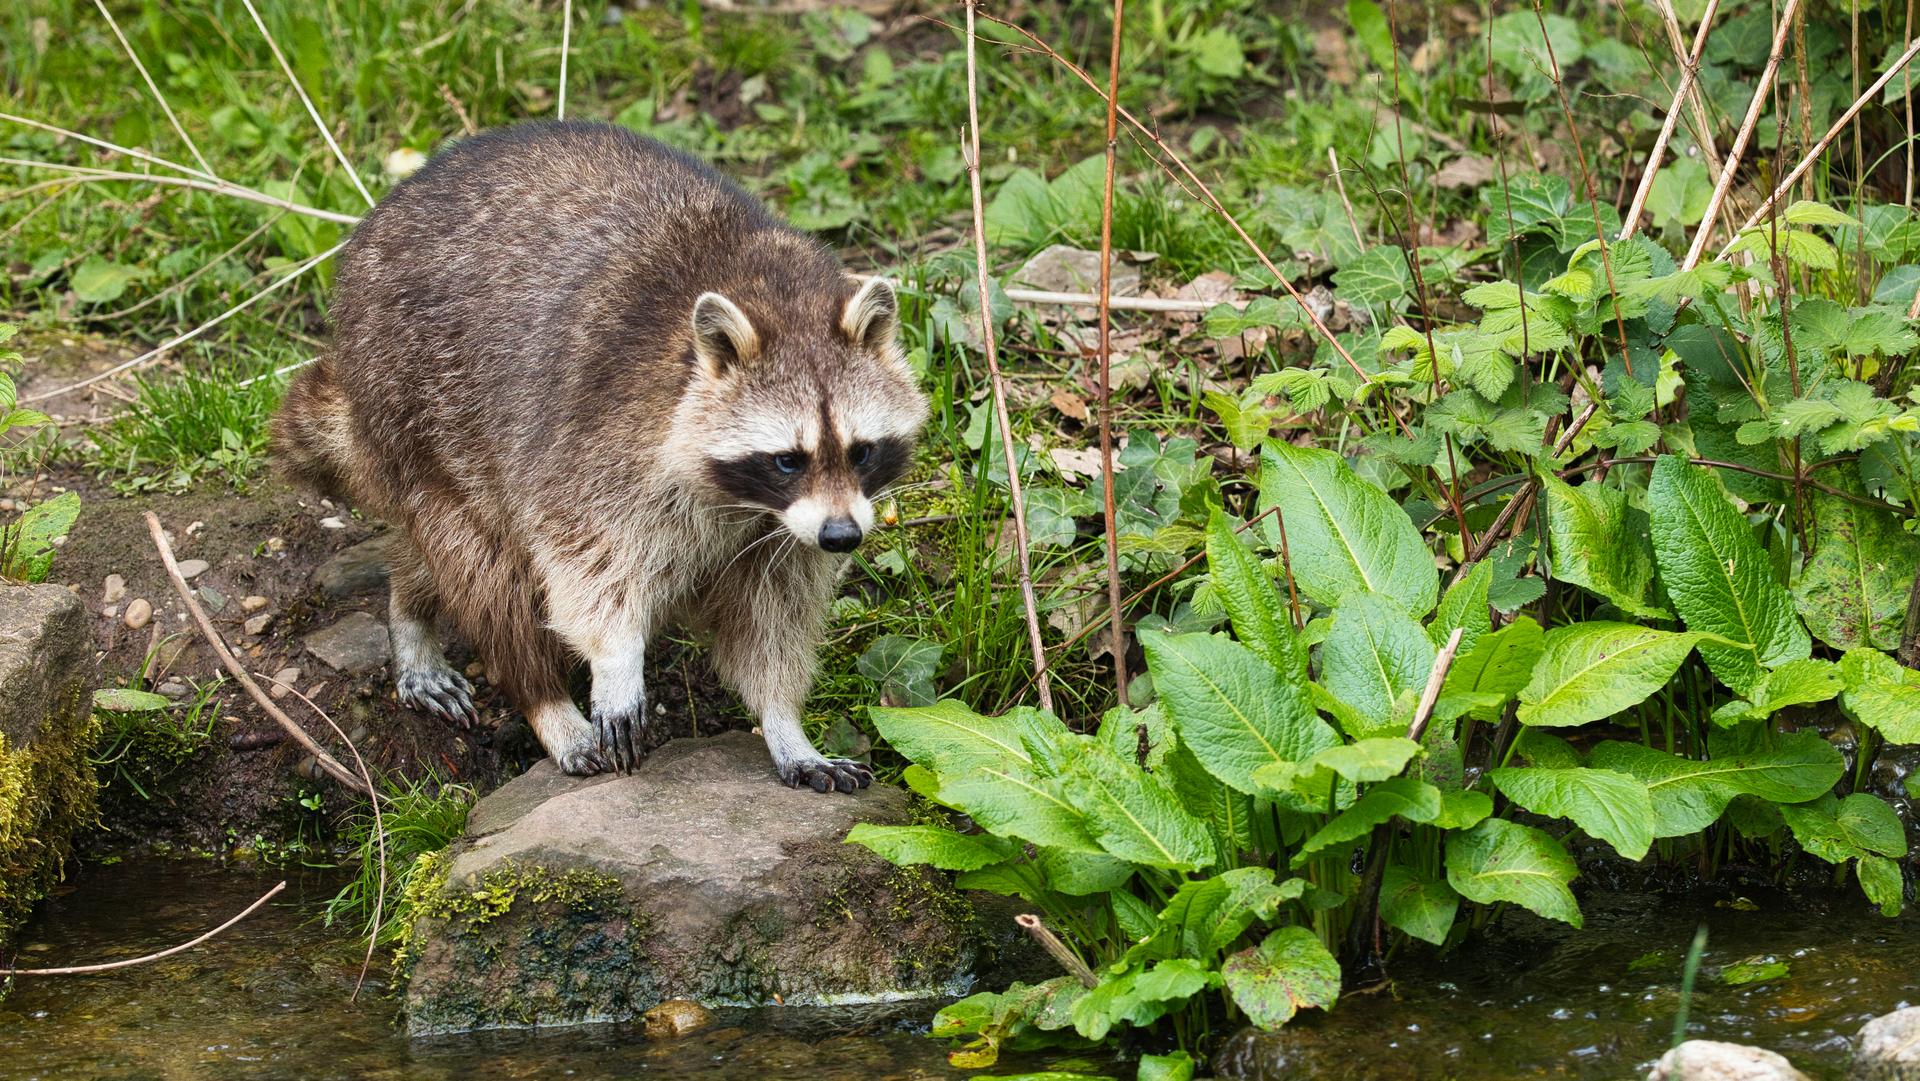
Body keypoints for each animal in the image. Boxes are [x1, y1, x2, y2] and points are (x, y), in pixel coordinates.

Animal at [274, 120, 925, 794]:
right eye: (788, 460)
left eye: (862, 451)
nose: (843, 538)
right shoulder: (597, 439)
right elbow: (589, 565)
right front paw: (615, 663)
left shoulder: (785, 534)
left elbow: (772, 621)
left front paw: (782, 722)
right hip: (415, 404)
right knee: (484, 562)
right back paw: (543, 701)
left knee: (439, 551)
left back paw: (410, 604)